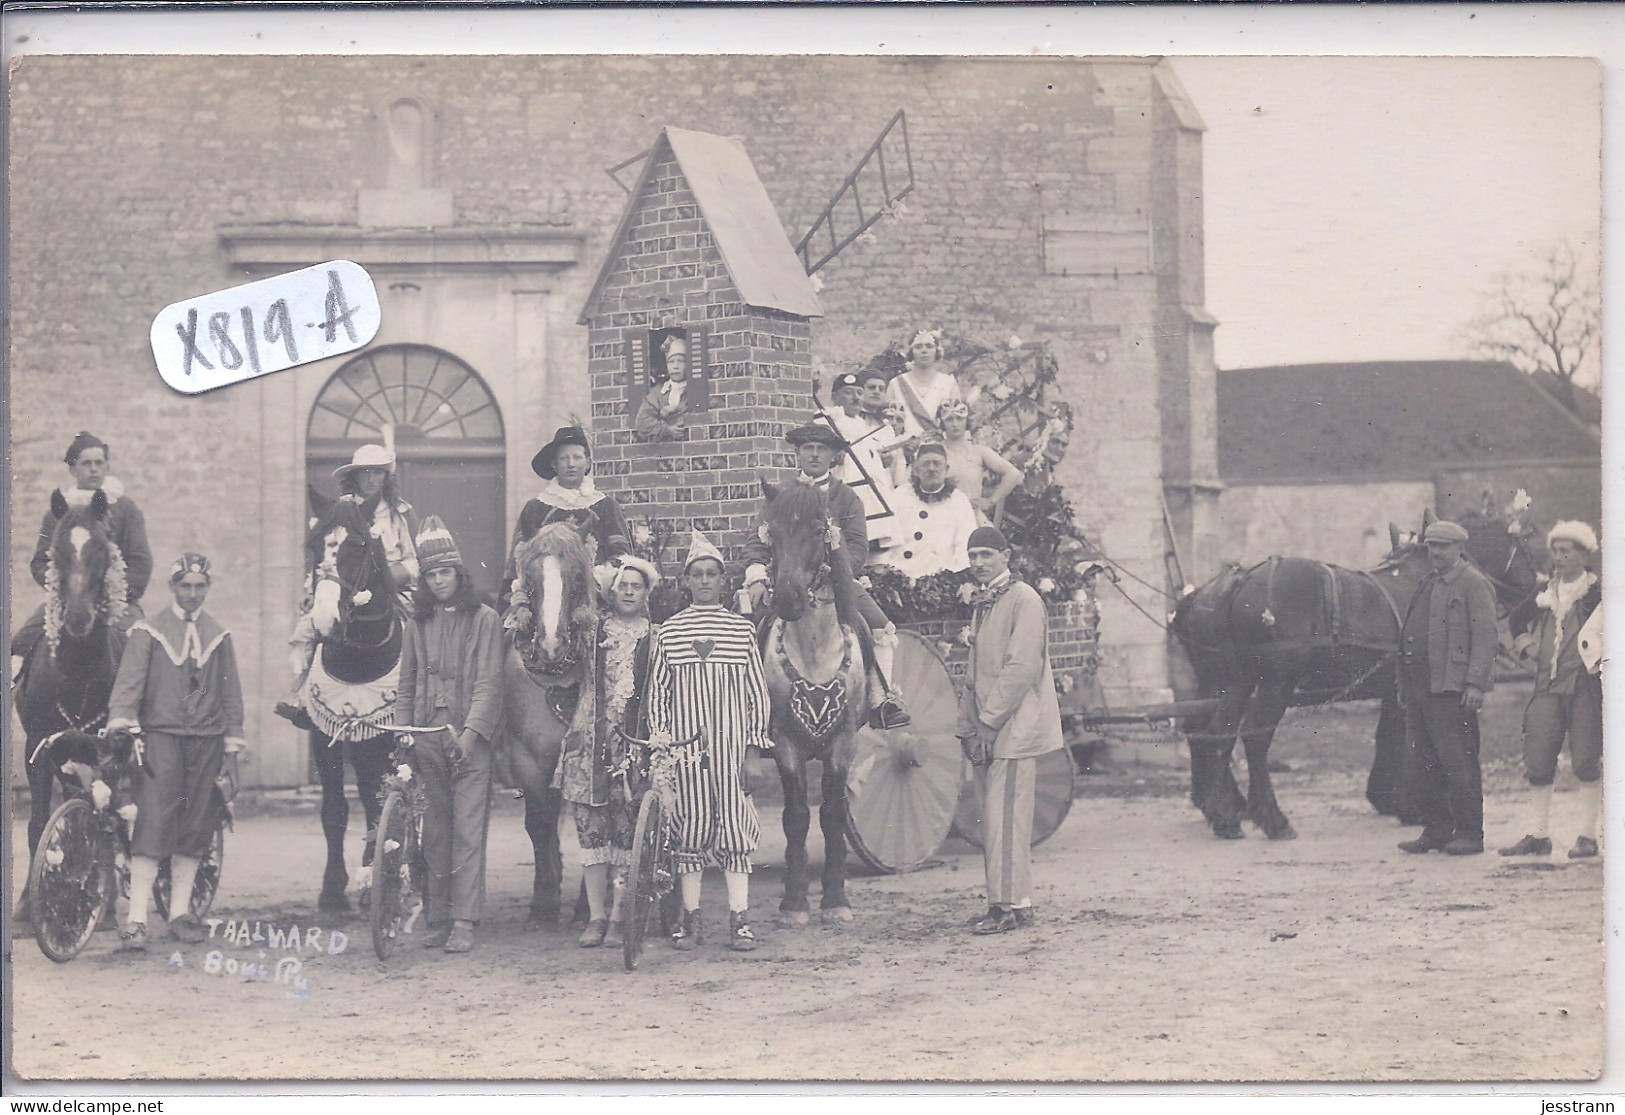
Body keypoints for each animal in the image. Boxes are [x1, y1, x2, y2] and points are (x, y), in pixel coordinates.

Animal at [15, 494, 127, 923]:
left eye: (101, 548)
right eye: (57, 550)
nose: (79, 618)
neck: (78, 670)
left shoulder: (108, 752)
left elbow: (105, 822)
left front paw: (104, 904)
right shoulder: (37, 750)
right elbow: (38, 824)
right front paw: (29, 904)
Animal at [299, 494, 403, 910]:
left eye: (359, 546)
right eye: (313, 545)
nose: (325, 620)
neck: (358, 661)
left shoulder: (388, 739)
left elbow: (379, 805)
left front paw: (371, 879)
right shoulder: (324, 736)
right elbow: (335, 809)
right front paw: (332, 889)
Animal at [497, 529, 601, 929]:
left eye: (576, 577)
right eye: (530, 582)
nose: (552, 644)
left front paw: (587, 908)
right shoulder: (529, 761)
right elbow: (538, 825)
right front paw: (543, 901)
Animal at [760, 481, 877, 923]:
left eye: (816, 530)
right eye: (772, 534)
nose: (788, 598)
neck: (813, 650)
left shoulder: (843, 743)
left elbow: (831, 813)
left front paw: (835, 897)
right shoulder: (784, 744)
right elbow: (796, 816)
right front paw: (794, 900)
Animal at [1170, 510, 1534, 845]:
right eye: (1530, 543)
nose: (1538, 591)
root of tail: (1236, 584)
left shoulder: (1395, 690)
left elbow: (1388, 737)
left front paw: (1389, 799)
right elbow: (1402, 740)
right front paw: (1408, 803)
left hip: (1233, 682)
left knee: (1214, 733)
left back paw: (1223, 815)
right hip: (1275, 683)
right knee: (1253, 738)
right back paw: (1271, 818)